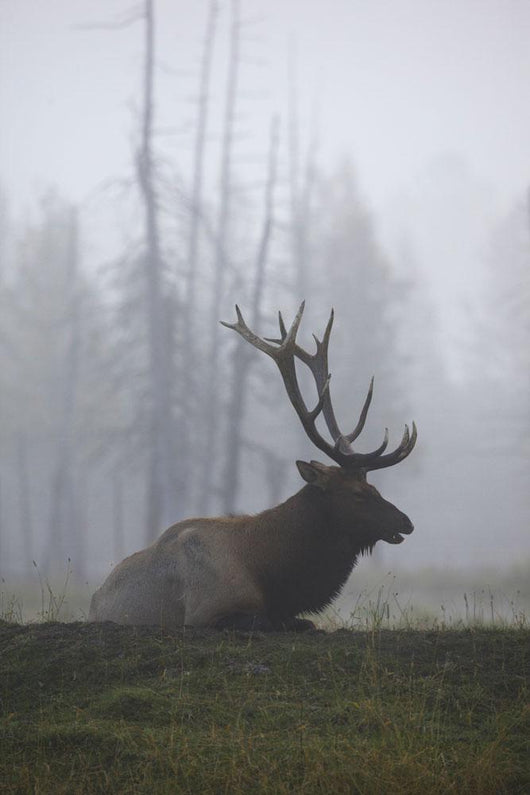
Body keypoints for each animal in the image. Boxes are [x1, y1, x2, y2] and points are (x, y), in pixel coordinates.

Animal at [89, 303, 417, 630]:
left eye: (373, 487)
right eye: (357, 494)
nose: (406, 522)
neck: (269, 575)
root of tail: (94, 600)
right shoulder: (204, 613)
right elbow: (275, 622)